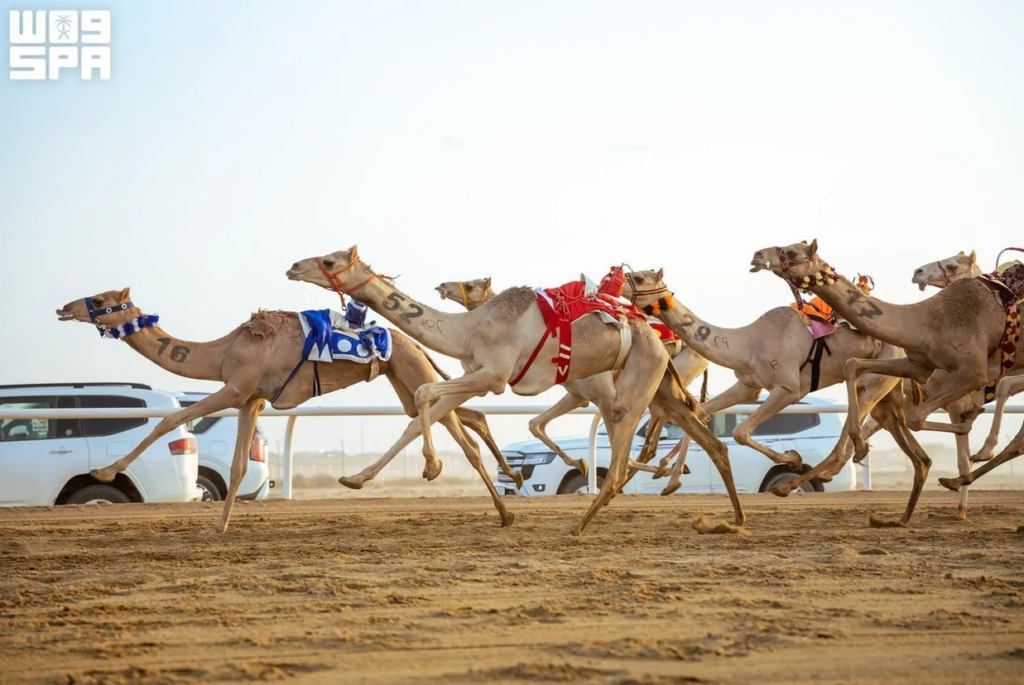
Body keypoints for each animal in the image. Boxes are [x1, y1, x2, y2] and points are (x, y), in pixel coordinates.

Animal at [55, 288, 519, 532]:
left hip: (409, 365)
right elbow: (239, 465)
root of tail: (416, 343)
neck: (222, 351)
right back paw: (504, 495)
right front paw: (220, 526)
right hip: (402, 376)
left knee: (458, 431)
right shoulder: (251, 399)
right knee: (457, 415)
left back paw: (470, 489)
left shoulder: (234, 389)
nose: (64, 307)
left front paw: (105, 472)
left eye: (100, 298)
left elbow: (171, 418)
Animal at [435, 277, 709, 488]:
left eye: (470, 285)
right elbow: (535, 424)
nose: (442, 286)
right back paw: (669, 471)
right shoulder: (578, 394)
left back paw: (670, 473)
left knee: (682, 419)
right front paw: (581, 463)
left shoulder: (599, 395)